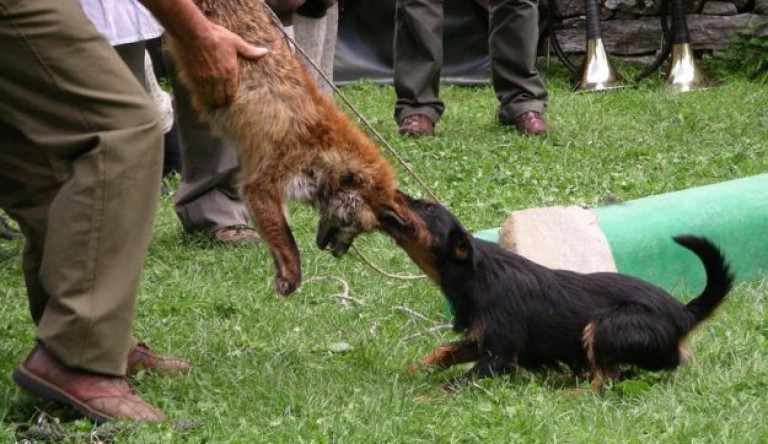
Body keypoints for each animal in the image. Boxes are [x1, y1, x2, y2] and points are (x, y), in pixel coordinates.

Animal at [167, 0, 408, 298]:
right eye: (353, 226)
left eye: (361, 231)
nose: (338, 253)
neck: (319, 147)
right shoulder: (261, 185)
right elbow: (288, 242)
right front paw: (291, 275)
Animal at [380, 193, 736, 390]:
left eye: (427, 208)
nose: (395, 191)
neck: (475, 274)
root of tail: (683, 312)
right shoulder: (482, 340)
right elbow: (444, 351)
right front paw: (413, 371)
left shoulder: (499, 357)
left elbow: (455, 383)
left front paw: (422, 397)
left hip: (606, 326)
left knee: (606, 383)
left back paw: (571, 392)